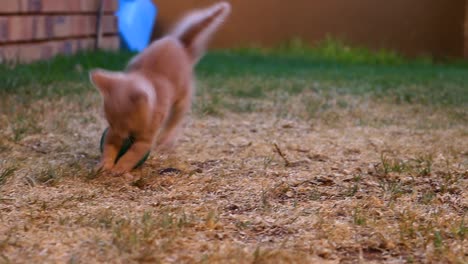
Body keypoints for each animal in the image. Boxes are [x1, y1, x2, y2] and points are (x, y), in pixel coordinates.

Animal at [89, 2, 230, 175]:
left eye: (126, 123)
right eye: (109, 120)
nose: (121, 135)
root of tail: (179, 42)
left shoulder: (145, 140)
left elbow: (131, 155)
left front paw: (119, 168)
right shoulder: (111, 133)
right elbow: (109, 148)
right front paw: (105, 164)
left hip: (182, 100)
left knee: (174, 121)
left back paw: (165, 140)